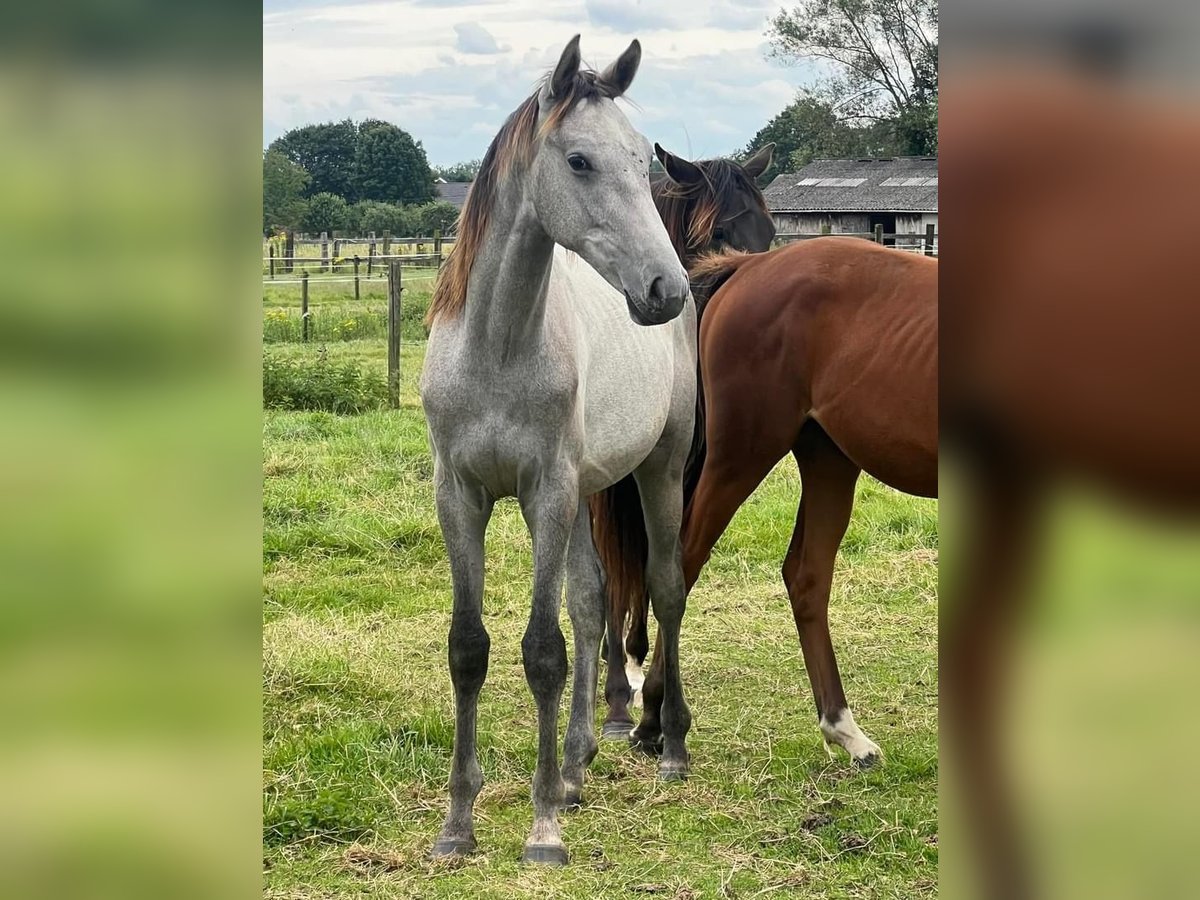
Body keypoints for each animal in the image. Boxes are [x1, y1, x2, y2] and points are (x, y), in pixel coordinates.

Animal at [420, 35, 696, 868]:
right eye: (579, 160)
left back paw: (669, 748)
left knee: (664, 590)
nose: (664, 289)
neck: (498, 347)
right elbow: (470, 647)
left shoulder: (546, 490)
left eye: (644, 158)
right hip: (586, 494)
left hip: (656, 470)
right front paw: (458, 824)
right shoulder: (461, 497)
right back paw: (576, 764)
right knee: (591, 602)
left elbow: (543, 651)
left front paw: (542, 829)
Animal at [590, 144, 777, 739]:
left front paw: (644, 665)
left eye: (769, 231)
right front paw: (619, 687)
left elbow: (665, 565)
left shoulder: (685, 476)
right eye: (714, 233)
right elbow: (611, 567)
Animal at [595, 234, 940, 768]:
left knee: (806, 576)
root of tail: (750, 266)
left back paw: (844, 729)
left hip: (828, 460)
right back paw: (653, 719)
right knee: (681, 566)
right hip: (740, 457)